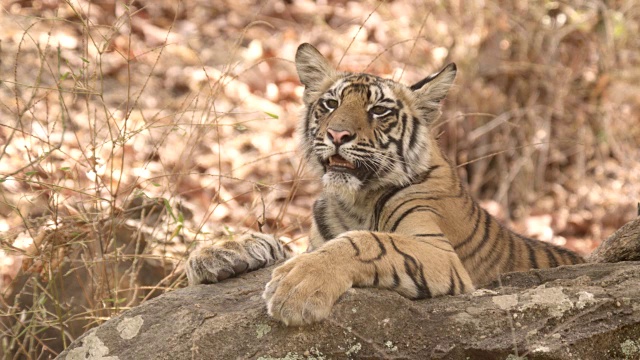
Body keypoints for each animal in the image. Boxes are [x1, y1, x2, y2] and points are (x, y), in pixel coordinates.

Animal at [185, 43, 584, 326]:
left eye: (379, 111)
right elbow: (275, 241)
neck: (353, 201)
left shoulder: (440, 253)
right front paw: (217, 253)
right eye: (330, 104)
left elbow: (367, 242)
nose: (337, 134)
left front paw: (298, 285)